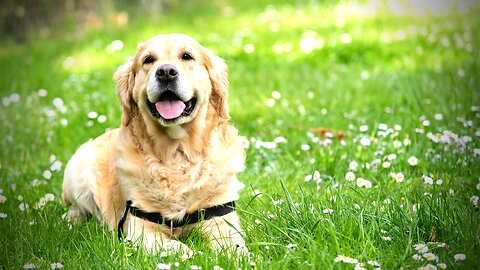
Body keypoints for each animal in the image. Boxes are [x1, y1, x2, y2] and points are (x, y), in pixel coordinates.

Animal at [62, 33, 248, 253]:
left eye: (187, 56)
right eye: (148, 60)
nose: (166, 72)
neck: (176, 152)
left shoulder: (220, 218)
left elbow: (234, 246)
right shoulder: (141, 229)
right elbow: (180, 249)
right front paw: (195, 254)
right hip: (77, 171)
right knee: (76, 208)